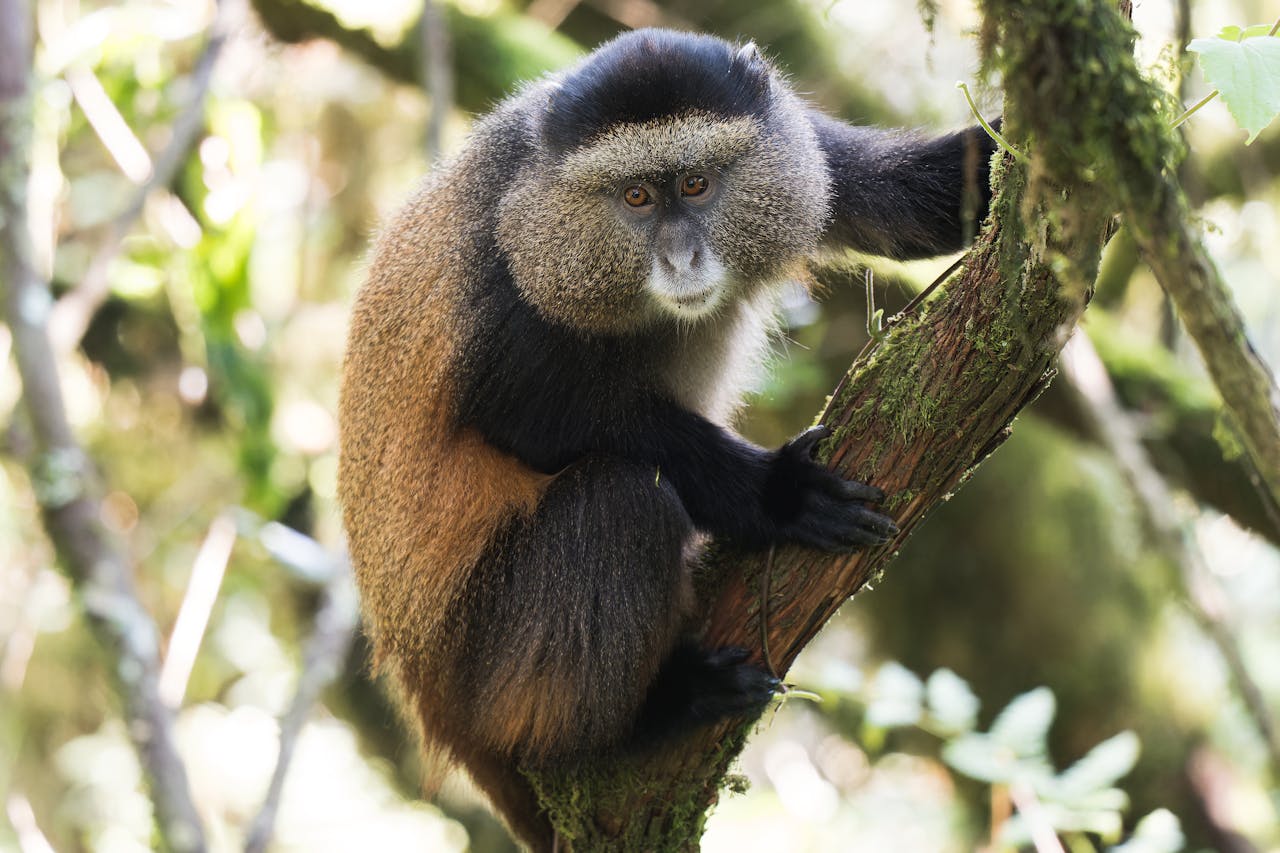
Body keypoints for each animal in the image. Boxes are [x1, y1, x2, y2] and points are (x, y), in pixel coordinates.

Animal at [338, 28, 997, 851]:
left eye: (695, 183)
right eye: (636, 198)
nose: (682, 258)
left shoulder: (788, 147)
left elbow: (905, 197)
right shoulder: (507, 284)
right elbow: (535, 419)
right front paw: (777, 495)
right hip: (481, 666)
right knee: (623, 500)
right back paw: (633, 727)